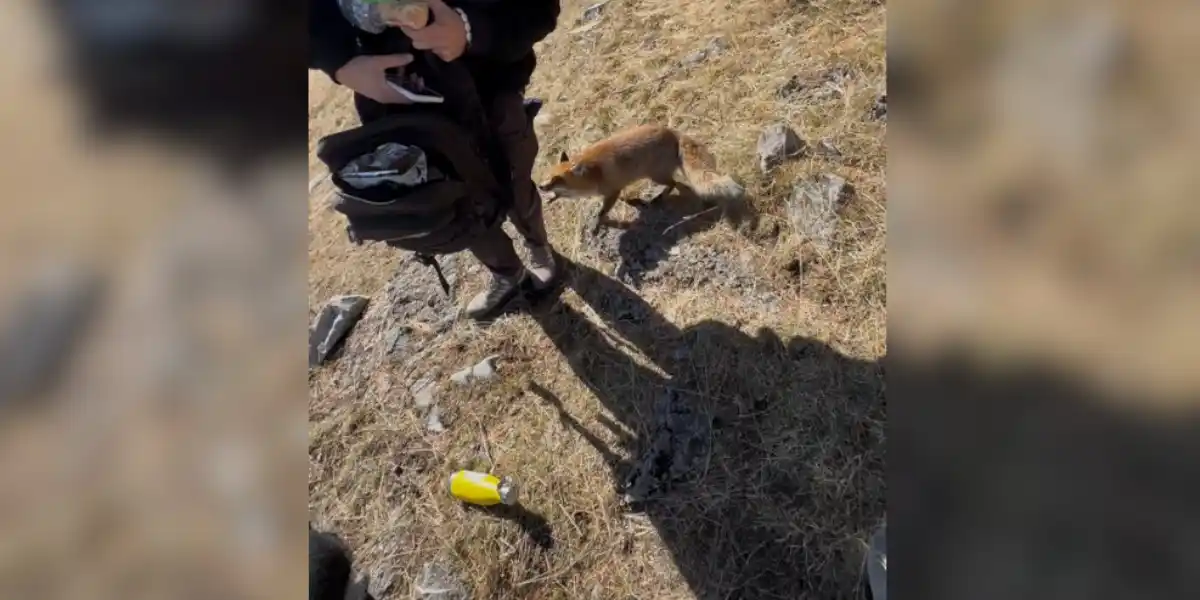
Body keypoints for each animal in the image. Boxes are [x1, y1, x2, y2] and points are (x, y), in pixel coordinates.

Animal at [537, 124, 745, 233]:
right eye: (547, 177)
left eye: (557, 180)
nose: (540, 187)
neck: (593, 174)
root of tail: (671, 131)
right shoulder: (617, 189)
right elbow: (622, 199)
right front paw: (633, 202)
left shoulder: (612, 190)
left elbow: (602, 212)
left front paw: (596, 226)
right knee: (677, 184)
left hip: (655, 175)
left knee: (674, 184)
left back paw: (658, 199)